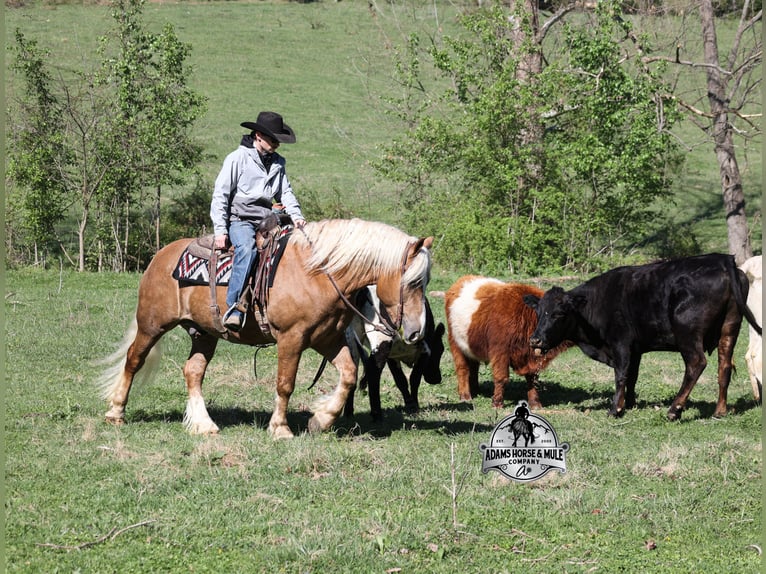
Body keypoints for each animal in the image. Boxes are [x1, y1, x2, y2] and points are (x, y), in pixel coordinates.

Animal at [98, 218, 433, 439]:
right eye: (412, 281)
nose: (415, 332)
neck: (318, 274)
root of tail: (160, 255)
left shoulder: (327, 339)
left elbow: (349, 375)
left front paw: (321, 420)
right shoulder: (291, 338)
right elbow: (285, 383)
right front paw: (281, 428)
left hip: (204, 334)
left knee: (193, 371)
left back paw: (204, 425)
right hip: (152, 324)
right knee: (133, 360)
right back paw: (116, 413)